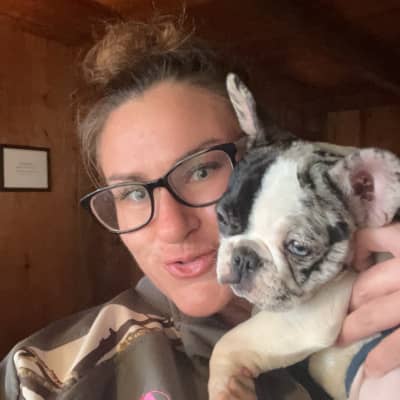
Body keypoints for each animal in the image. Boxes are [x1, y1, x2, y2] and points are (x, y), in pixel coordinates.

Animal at [208, 74, 400, 400]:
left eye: (298, 248)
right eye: (222, 217)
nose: (244, 257)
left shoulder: (307, 318)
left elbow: (229, 342)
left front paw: (228, 388)